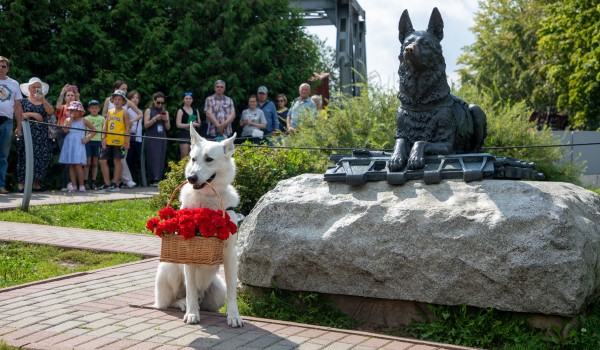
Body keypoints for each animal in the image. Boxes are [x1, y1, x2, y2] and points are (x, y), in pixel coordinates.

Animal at [155, 126, 244, 328]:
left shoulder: (230, 253)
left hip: (218, 290)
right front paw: (192, 314)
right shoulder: (188, 252)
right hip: (170, 269)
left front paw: (234, 316)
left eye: (209, 159)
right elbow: (191, 291)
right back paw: (182, 304)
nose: (191, 178)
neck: (207, 199)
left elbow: (233, 293)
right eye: (193, 159)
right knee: (171, 301)